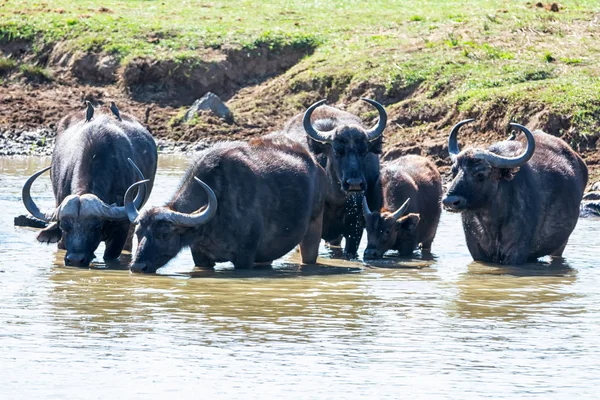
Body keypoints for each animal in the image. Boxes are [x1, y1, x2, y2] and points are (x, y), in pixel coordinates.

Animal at [123, 136, 326, 274]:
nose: (138, 266)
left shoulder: (245, 258)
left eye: (164, 233)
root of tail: (318, 167)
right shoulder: (200, 256)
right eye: (138, 233)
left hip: (313, 230)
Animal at [440, 117, 584, 264]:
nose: (449, 201)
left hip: (561, 244)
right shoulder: (476, 251)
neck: (491, 221)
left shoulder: (516, 253)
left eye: (480, 174)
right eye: (454, 170)